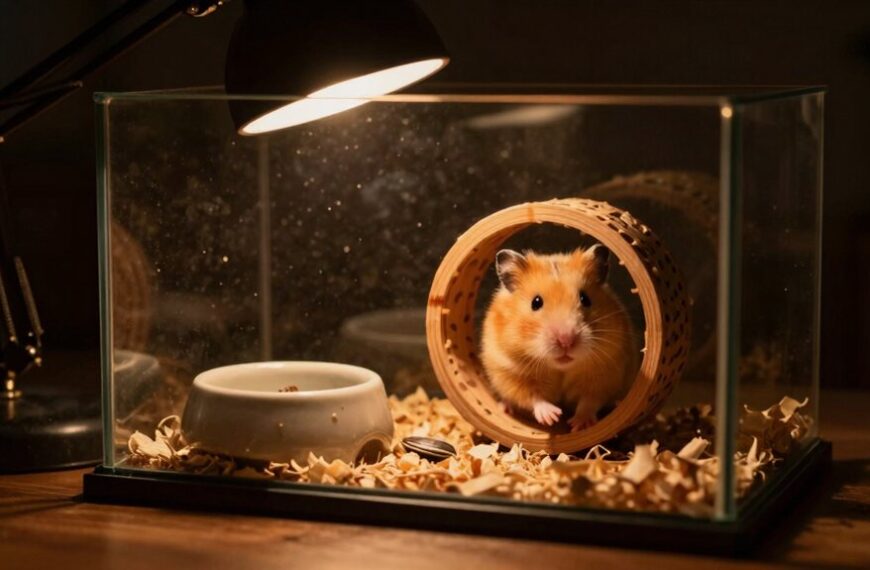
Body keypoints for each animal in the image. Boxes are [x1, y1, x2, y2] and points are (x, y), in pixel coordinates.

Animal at [480, 244, 638, 431]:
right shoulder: (510, 370)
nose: (566, 341)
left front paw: (578, 424)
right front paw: (552, 416)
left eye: (585, 299)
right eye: (536, 302)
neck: (560, 368)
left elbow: (590, 400)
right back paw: (505, 408)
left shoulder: (605, 371)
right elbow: (532, 396)